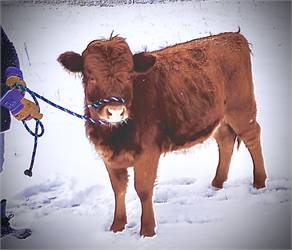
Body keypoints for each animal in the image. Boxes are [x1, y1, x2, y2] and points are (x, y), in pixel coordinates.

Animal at [58, 30, 266, 236]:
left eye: (129, 76)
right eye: (91, 76)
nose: (115, 111)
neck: (115, 137)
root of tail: (231, 36)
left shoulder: (148, 153)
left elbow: (143, 190)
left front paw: (148, 231)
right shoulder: (109, 157)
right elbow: (118, 189)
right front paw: (117, 226)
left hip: (241, 108)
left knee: (252, 137)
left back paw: (259, 182)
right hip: (219, 117)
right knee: (225, 140)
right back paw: (217, 183)